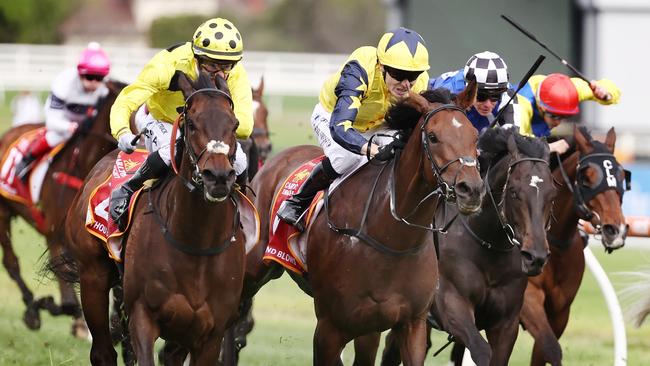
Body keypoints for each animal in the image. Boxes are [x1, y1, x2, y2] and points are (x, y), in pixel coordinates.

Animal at [65, 72, 246, 366]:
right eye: (191, 123)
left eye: (235, 124)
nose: (218, 176)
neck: (197, 244)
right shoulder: (143, 314)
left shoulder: (210, 333)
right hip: (92, 274)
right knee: (103, 352)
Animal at [240, 84, 484, 364]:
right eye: (433, 137)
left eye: (474, 137)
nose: (471, 189)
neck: (393, 241)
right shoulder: (329, 327)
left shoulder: (410, 324)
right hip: (254, 268)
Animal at [382, 126, 556, 366]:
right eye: (514, 192)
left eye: (552, 195)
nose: (536, 256)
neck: (487, 246)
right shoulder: (451, 306)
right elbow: (481, 351)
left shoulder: (506, 323)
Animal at [516, 126, 628, 366]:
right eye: (586, 178)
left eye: (622, 176)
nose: (616, 230)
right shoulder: (528, 300)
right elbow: (550, 348)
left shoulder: (560, 312)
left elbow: (542, 352)